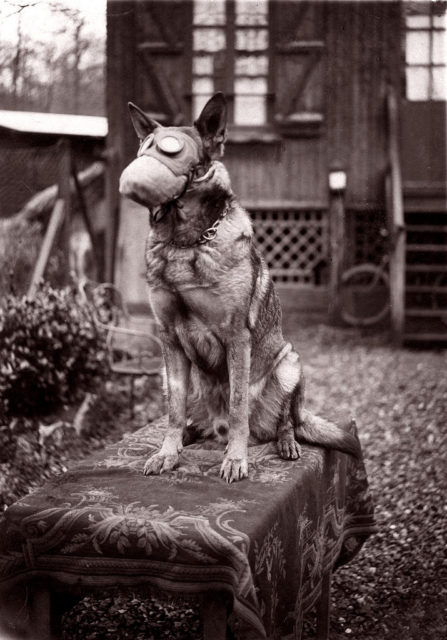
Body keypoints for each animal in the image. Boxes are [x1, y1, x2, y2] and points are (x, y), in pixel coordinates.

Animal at [119, 92, 360, 482]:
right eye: (144, 147)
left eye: (173, 149)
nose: (137, 170)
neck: (185, 241)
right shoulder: (169, 339)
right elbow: (173, 409)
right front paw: (168, 453)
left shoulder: (236, 337)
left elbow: (237, 406)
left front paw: (235, 459)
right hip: (171, 373)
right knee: (189, 414)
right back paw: (189, 435)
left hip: (289, 362)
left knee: (286, 421)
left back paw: (285, 443)